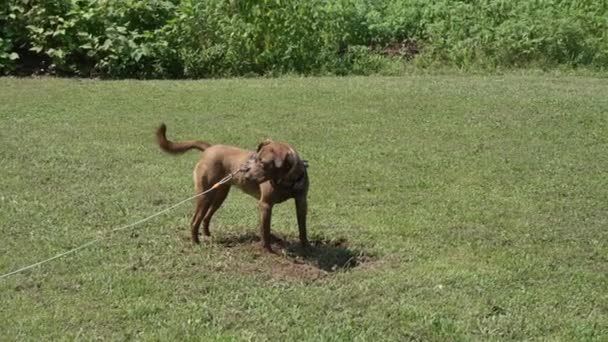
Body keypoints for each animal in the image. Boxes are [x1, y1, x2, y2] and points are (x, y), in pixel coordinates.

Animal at [157, 123, 308, 251]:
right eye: (256, 159)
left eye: (263, 163)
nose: (246, 175)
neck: (287, 181)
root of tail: (209, 148)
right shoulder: (265, 204)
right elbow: (265, 231)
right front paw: (268, 251)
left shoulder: (301, 201)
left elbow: (303, 228)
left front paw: (306, 247)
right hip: (205, 194)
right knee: (194, 221)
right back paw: (196, 242)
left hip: (219, 194)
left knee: (206, 217)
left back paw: (207, 234)